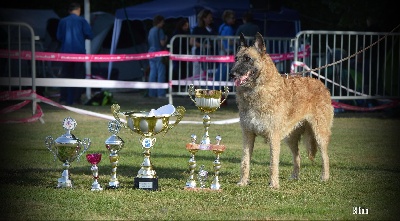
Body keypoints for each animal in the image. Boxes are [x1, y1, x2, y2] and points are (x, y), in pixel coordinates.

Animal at [230, 32, 332, 188]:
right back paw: (295, 176)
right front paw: (242, 182)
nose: (232, 74)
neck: (258, 89)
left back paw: (325, 177)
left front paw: (273, 185)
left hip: (319, 134)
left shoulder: (274, 137)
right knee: (297, 157)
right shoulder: (248, 135)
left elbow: (273, 163)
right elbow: (245, 162)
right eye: (236, 59)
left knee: (325, 157)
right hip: (290, 138)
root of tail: (320, 83)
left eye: (248, 59)